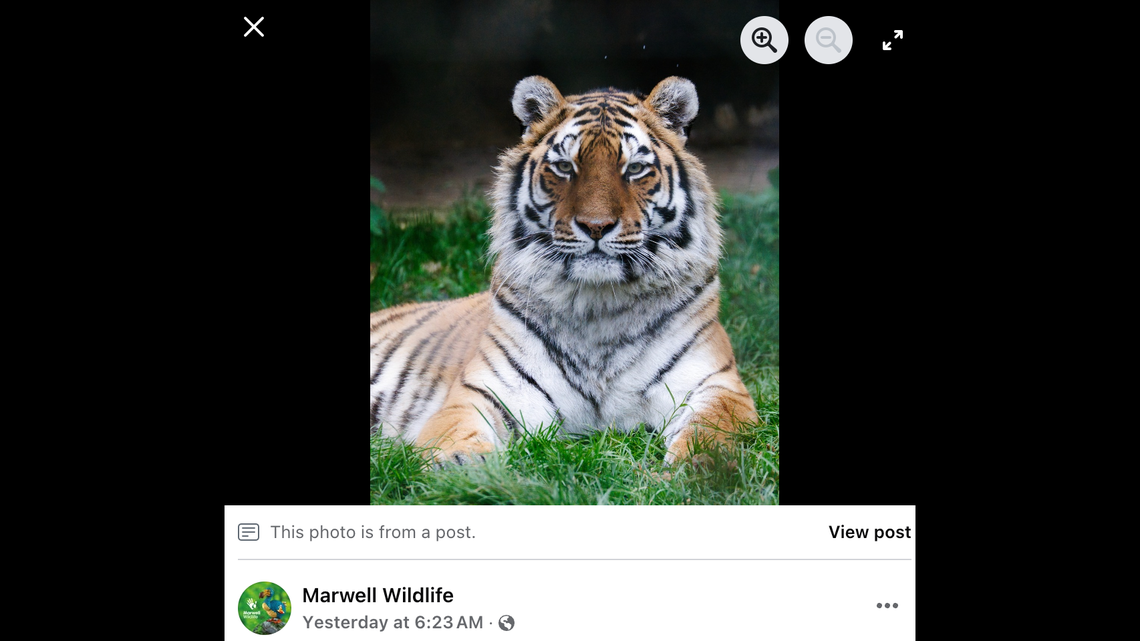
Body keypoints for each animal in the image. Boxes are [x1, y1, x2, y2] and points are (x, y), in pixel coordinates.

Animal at [370, 76, 758, 465]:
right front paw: (459, 464)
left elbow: (712, 430)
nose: (596, 226)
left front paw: (701, 467)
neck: (601, 306)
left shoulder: (717, 384)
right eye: (565, 167)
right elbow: (455, 432)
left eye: (634, 169)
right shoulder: (482, 392)